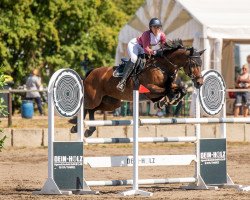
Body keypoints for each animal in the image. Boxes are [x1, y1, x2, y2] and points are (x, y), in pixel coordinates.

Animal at [70, 39, 205, 137]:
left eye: (201, 64)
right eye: (193, 64)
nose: (199, 82)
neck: (162, 67)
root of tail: (91, 72)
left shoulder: (170, 85)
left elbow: (181, 88)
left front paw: (170, 100)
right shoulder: (150, 89)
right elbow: (167, 90)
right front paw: (167, 100)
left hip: (111, 103)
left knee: (92, 110)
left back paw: (88, 130)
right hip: (94, 98)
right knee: (86, 107)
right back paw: (76, 126)